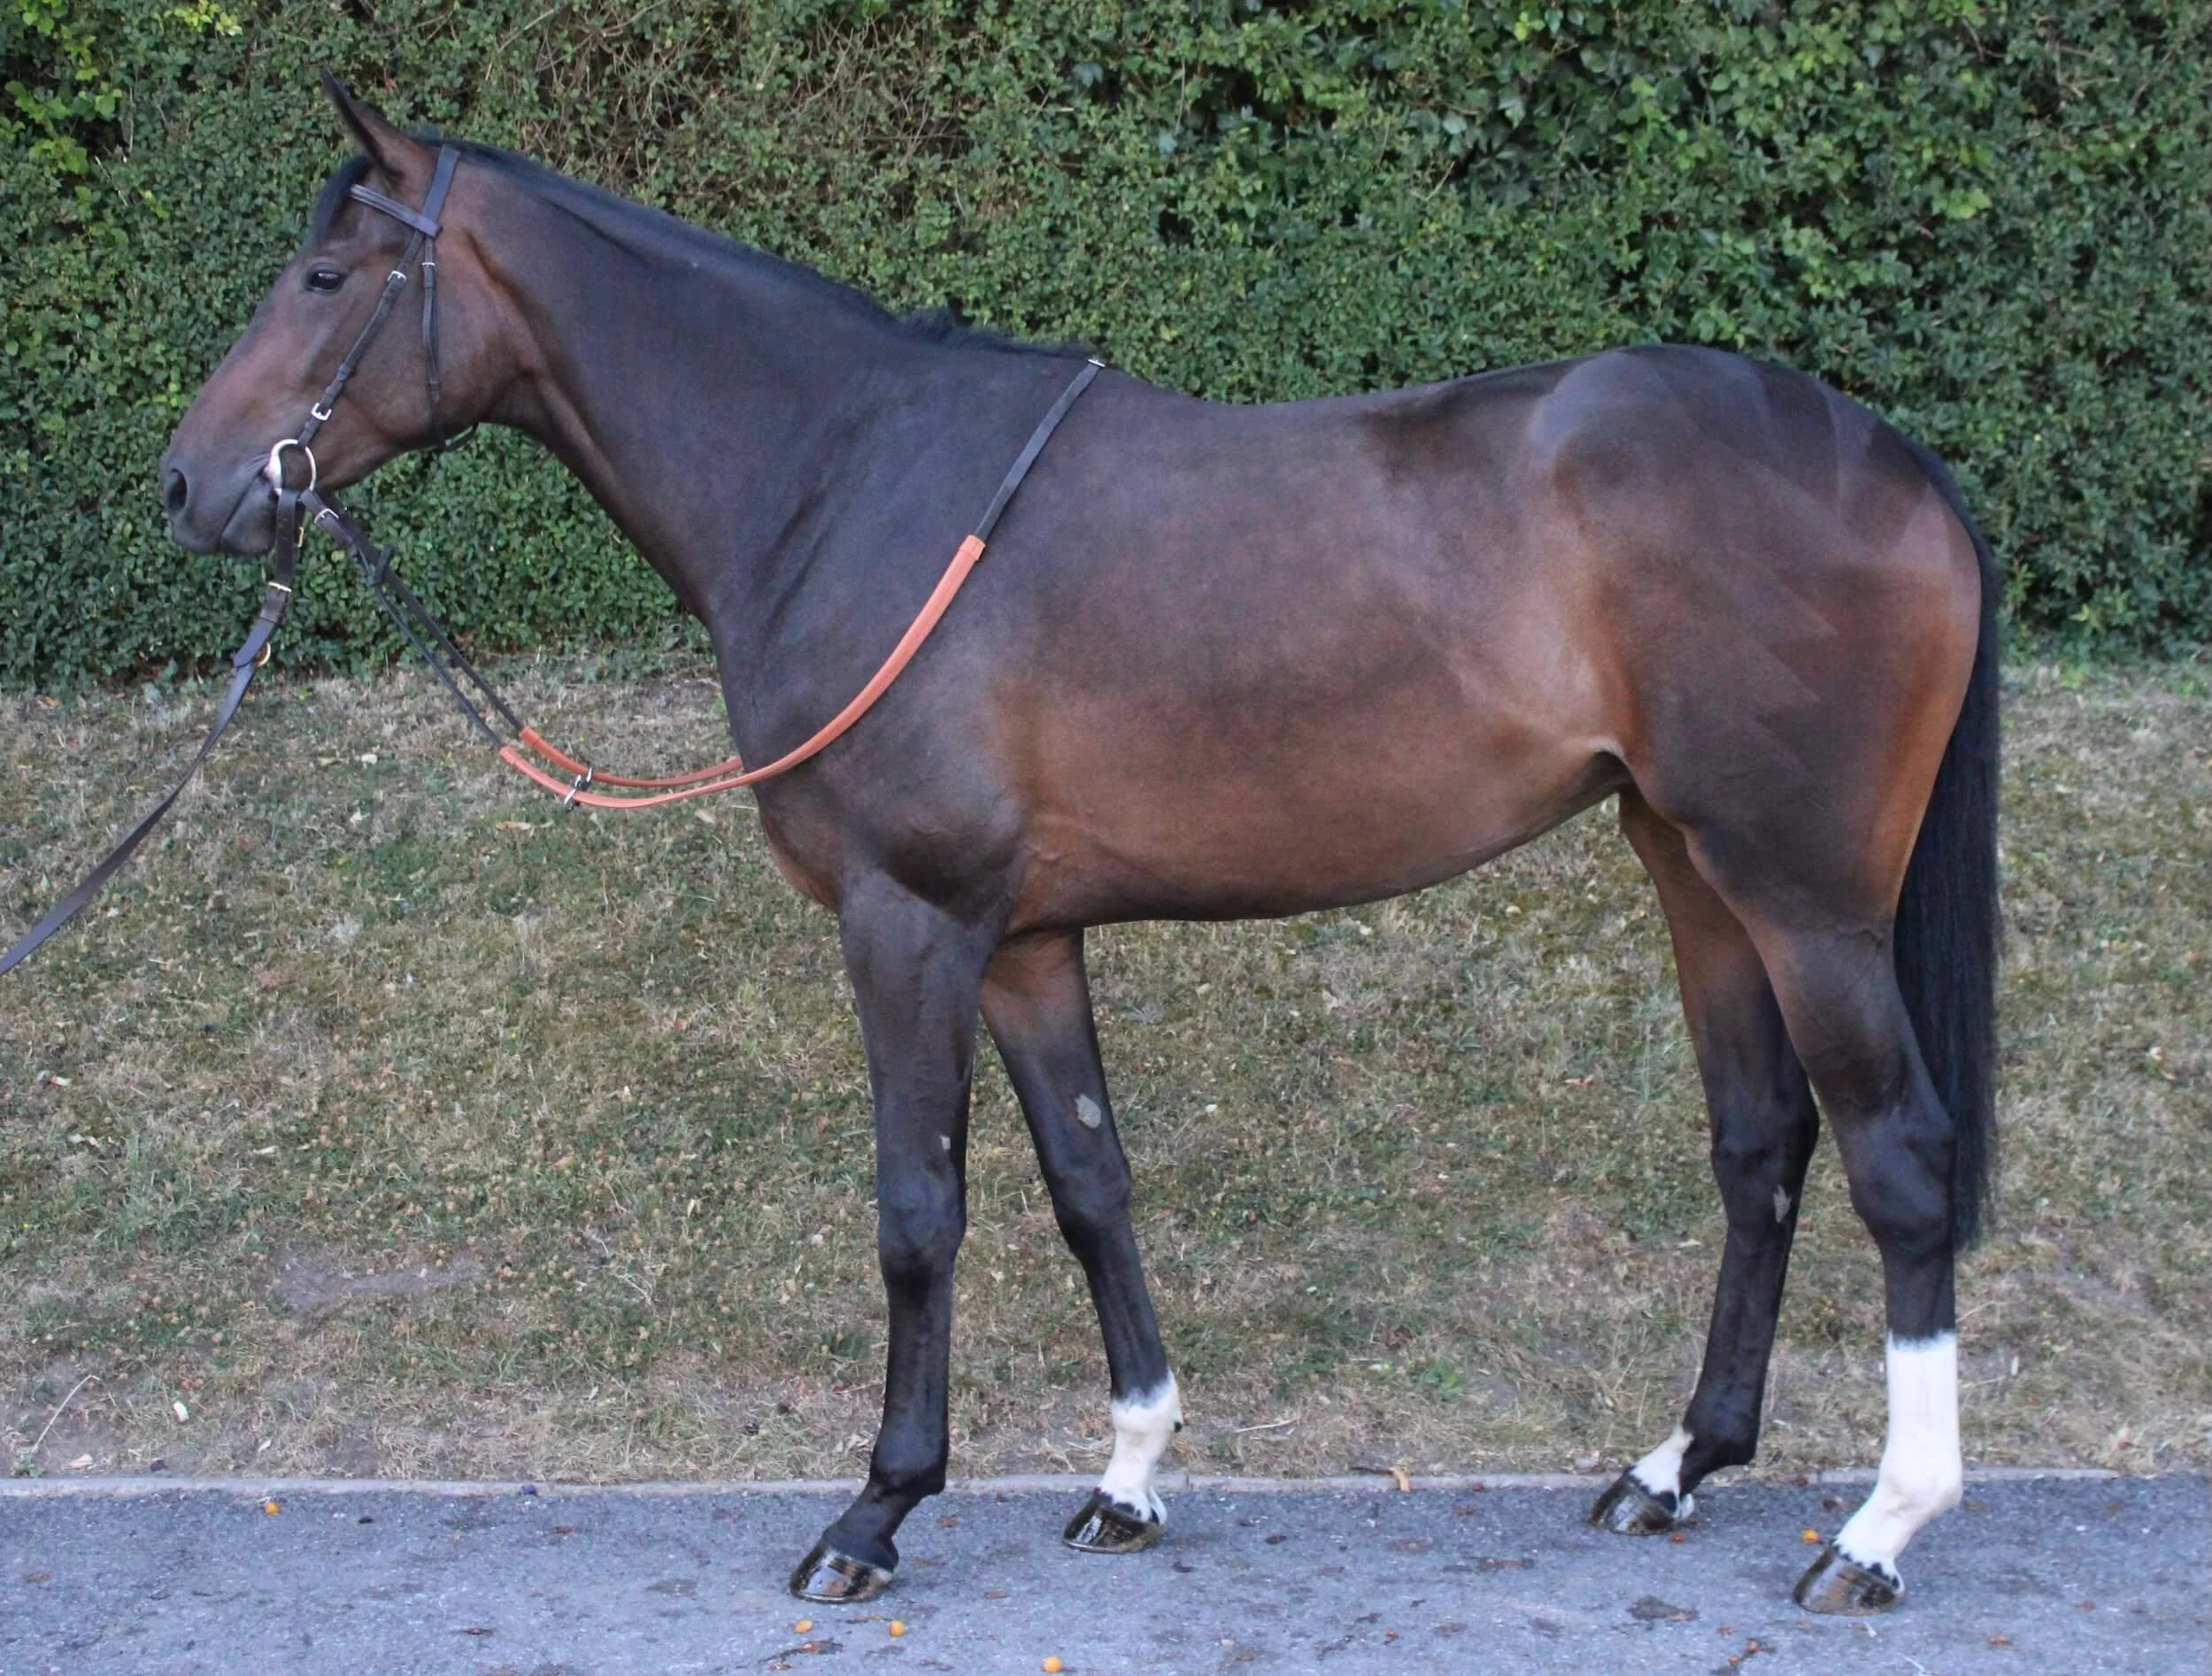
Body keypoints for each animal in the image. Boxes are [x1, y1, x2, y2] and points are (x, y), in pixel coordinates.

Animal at [159, 78, 1998, 1616]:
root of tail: (1888, 457)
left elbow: (918, 1207)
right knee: (1758, 1148)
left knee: (1898, 1162)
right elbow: (1086, 1182)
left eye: (324, 274)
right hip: (1692, 872)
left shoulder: (906, 922)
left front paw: (873, 1510)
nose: (191, 485)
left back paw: (1875, 1529)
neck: (838, 479)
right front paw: (1126, 1475)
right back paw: (1674, 1463)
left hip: (1804, 900)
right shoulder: (1026, 940)